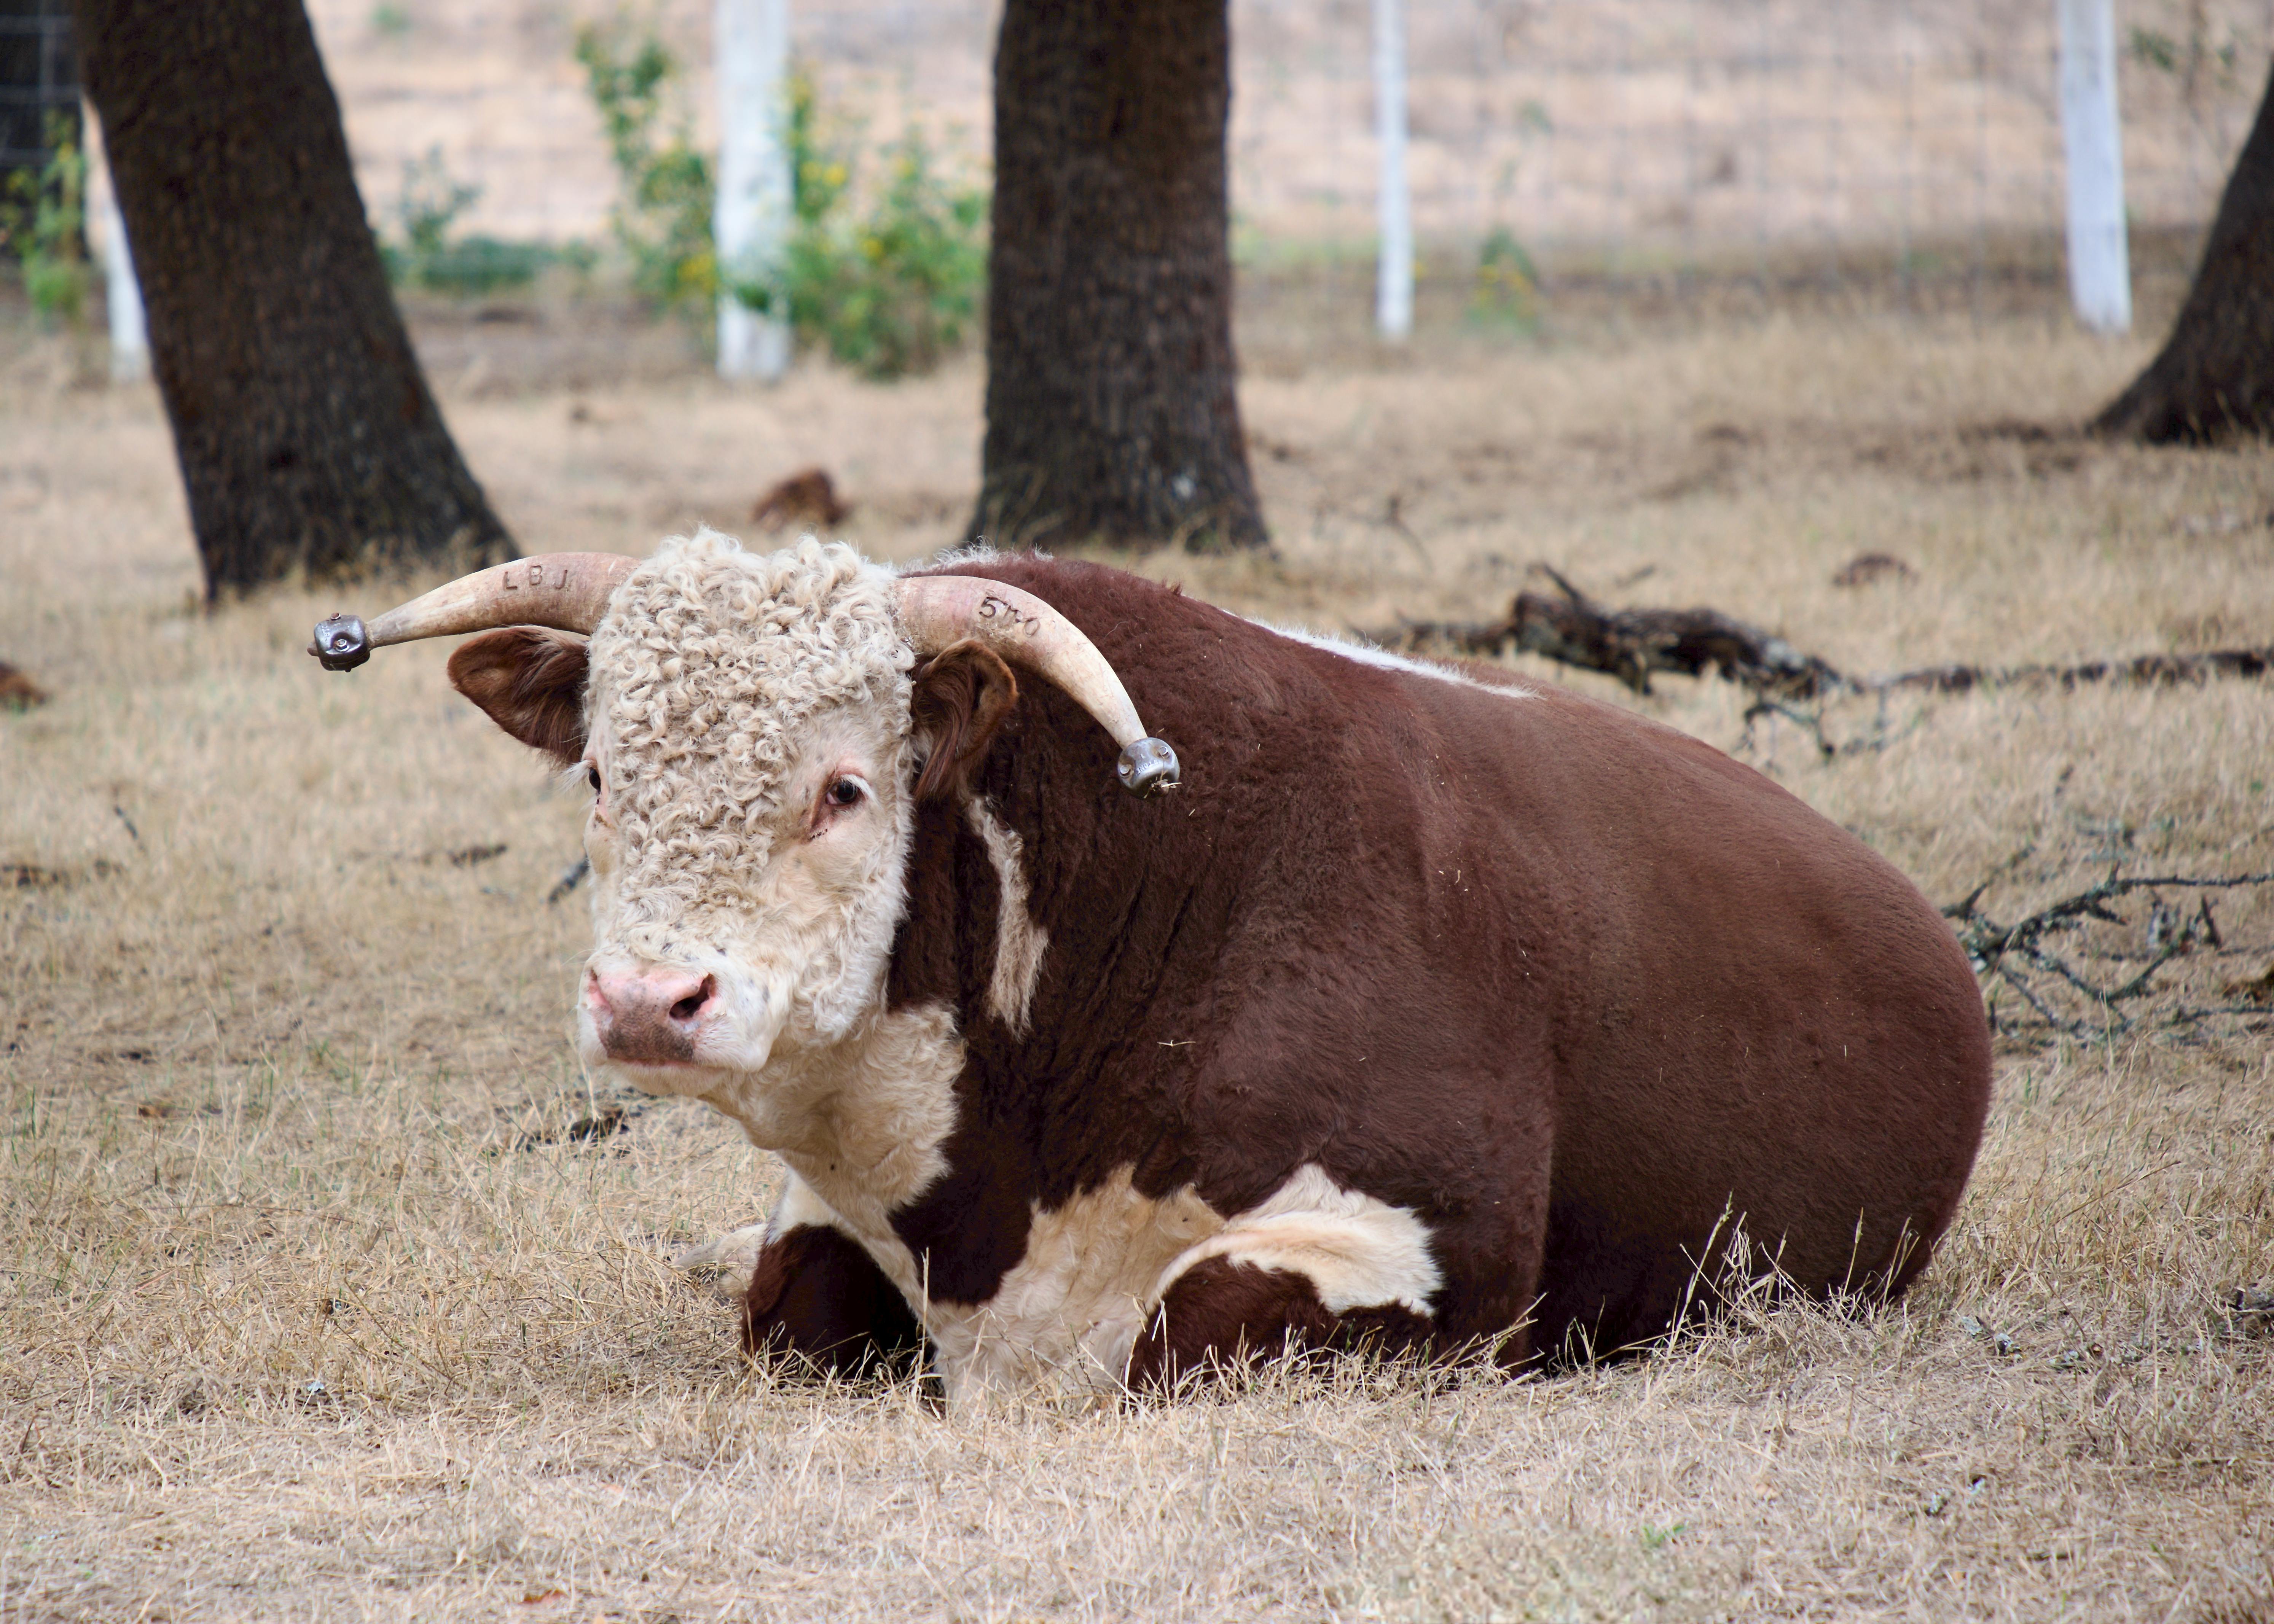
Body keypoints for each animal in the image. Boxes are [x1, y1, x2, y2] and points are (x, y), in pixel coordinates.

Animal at [309, 529, 1991, 1404]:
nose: (651, 1006)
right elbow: (784, 1300)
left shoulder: (1444, 1242)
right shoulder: (833, 1231)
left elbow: (1183, 1328)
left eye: (845, 786)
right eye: (602, 774)